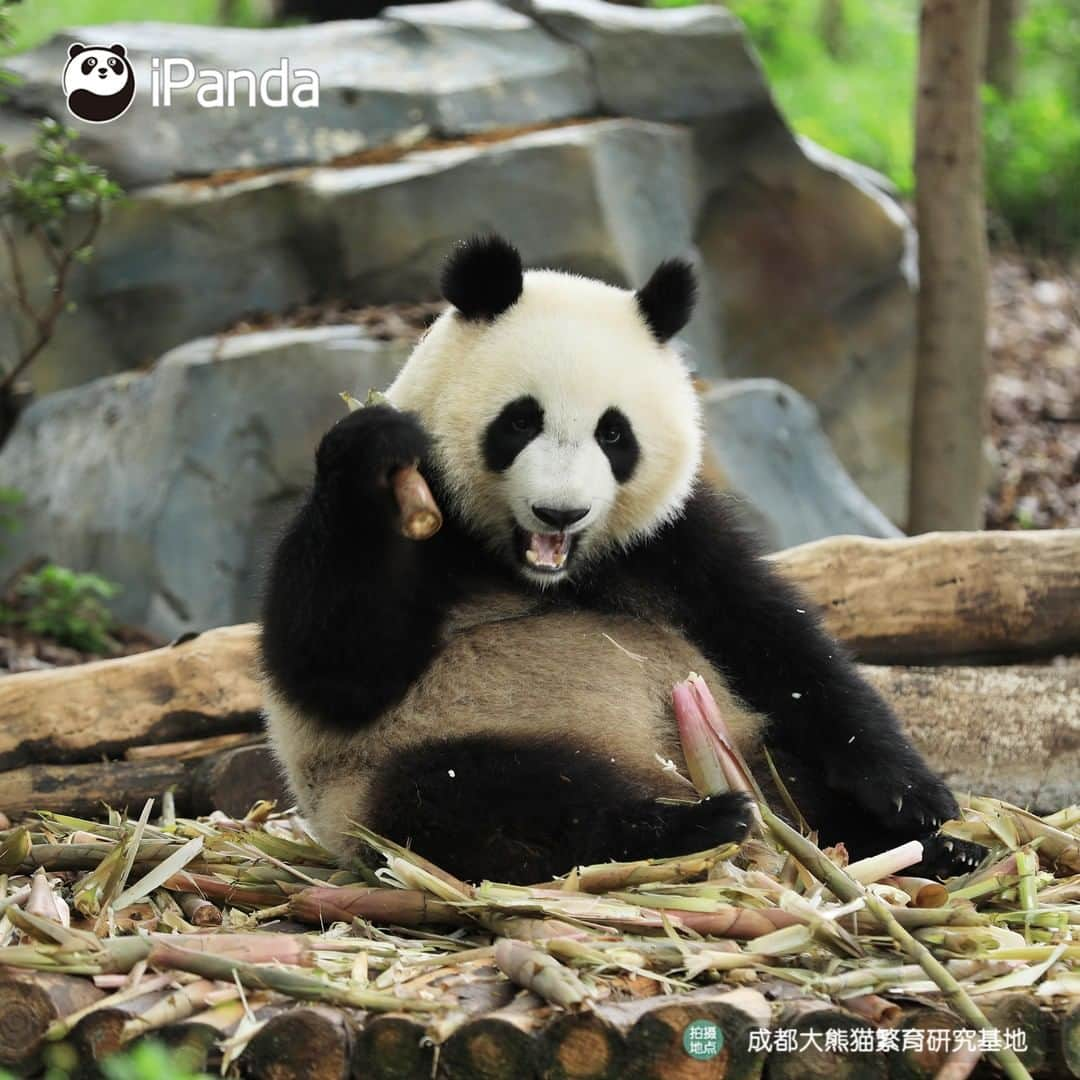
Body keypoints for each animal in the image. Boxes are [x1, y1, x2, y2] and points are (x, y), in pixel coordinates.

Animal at [261, 236, 980, 885]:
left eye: (613, 433)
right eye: (519, 421)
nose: (560, 512)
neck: (537, 573)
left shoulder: (668, 541)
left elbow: (778, 644)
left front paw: (915, 796)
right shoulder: (429, 534)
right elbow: (334, 666)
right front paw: (370, 447)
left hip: (740, 736)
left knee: (793, 775)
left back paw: (933, 850)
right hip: (402, 760)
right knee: (490, 800)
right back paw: (692, 825)